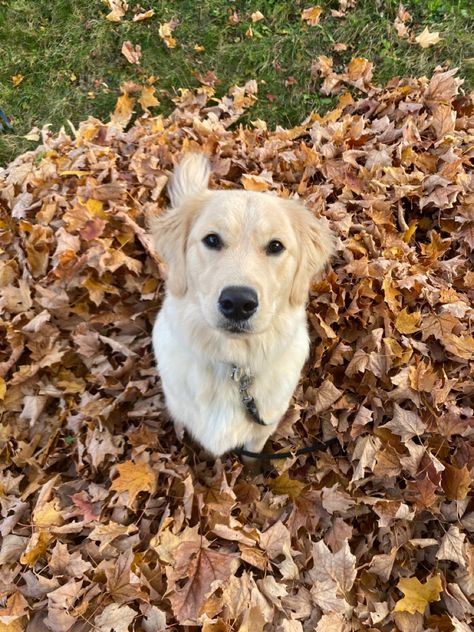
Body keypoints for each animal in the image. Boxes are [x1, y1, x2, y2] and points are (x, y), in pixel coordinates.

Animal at [151, 153, 334, 460]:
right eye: (212, 239)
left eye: (275, 246)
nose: (238, 302)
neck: (234, 368)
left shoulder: (263, 427)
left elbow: (252, 453)